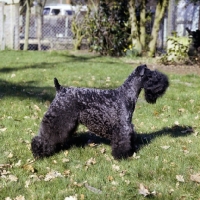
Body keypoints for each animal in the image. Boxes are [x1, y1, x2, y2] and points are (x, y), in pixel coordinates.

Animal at [31, 65, 169, 160]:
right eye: (150, 76)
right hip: (58, 118)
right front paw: (122, 155)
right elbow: (123, 141)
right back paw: (38, 151)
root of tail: (60, 89)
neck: (126, 94)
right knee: (45, 135)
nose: (166, 82)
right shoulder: (123, 127)